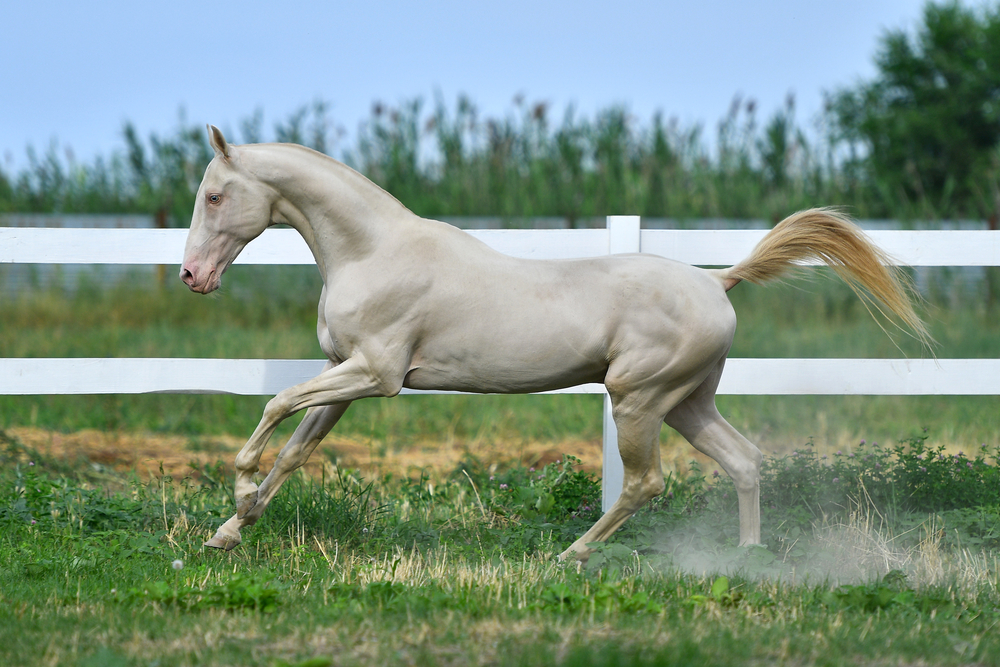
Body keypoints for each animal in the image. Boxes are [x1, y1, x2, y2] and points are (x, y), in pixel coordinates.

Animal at [181, 125, 929, 559]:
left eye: (215, 196)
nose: (193, 277)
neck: (372, 252)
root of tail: (718, 282)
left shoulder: (377, 374)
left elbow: (275, 406)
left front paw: (238, 491)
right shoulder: (344, 375)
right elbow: (295, 450)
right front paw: (228, 530)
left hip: (638, 399)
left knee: (647, 482)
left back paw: (571, 555)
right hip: (689, 402)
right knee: (745, 460)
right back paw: (745, 561)